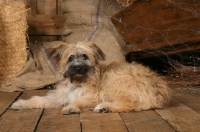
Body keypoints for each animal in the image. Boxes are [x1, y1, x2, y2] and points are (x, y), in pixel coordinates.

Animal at [10, 42, 170, 113]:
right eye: (70, 58)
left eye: (85, 57)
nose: (78, 68)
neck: (78, 82)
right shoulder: (60, 96)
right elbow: (39, 99)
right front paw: (21, 104)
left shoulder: (96, 95)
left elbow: (80, 100)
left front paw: (71, 107)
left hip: (116, 82)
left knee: (131, 105)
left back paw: (105, 107)